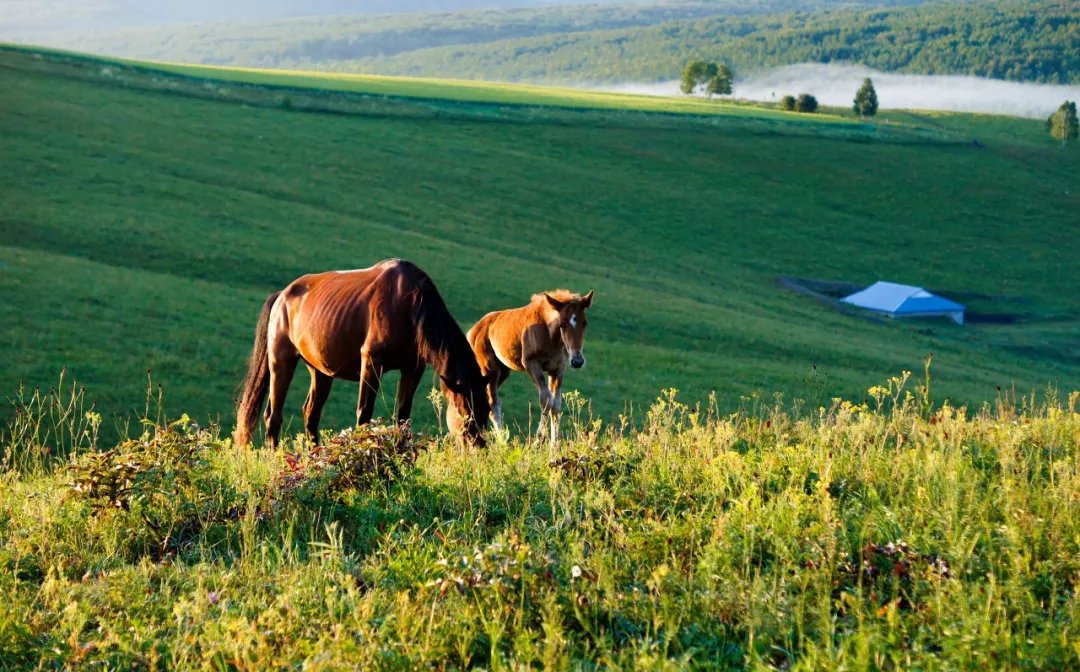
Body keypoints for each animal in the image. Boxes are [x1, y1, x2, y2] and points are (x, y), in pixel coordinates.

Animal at [237, 260, 494, 449]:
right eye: (466, 410)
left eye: (486, 410)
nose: (479, 446)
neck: (410, 305)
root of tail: (281, 296)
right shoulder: (371, 360)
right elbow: (364, 413)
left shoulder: (413, 368)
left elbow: (403, 417)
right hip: (281, 361)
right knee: (273, 416)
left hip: (320, 371)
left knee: (311, 413)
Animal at [464, 291, 596, 445]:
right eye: (562, 324)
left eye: (585, 323)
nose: (577, 361)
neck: (550, 335)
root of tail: (472, 332)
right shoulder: (531, 364)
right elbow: (546, 400)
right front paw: (538, 440)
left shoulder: (558, 368)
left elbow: (556, 405)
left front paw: (554, 445)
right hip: (490, 370)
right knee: (493, 403)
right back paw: (502, 442)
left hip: (503, 371)